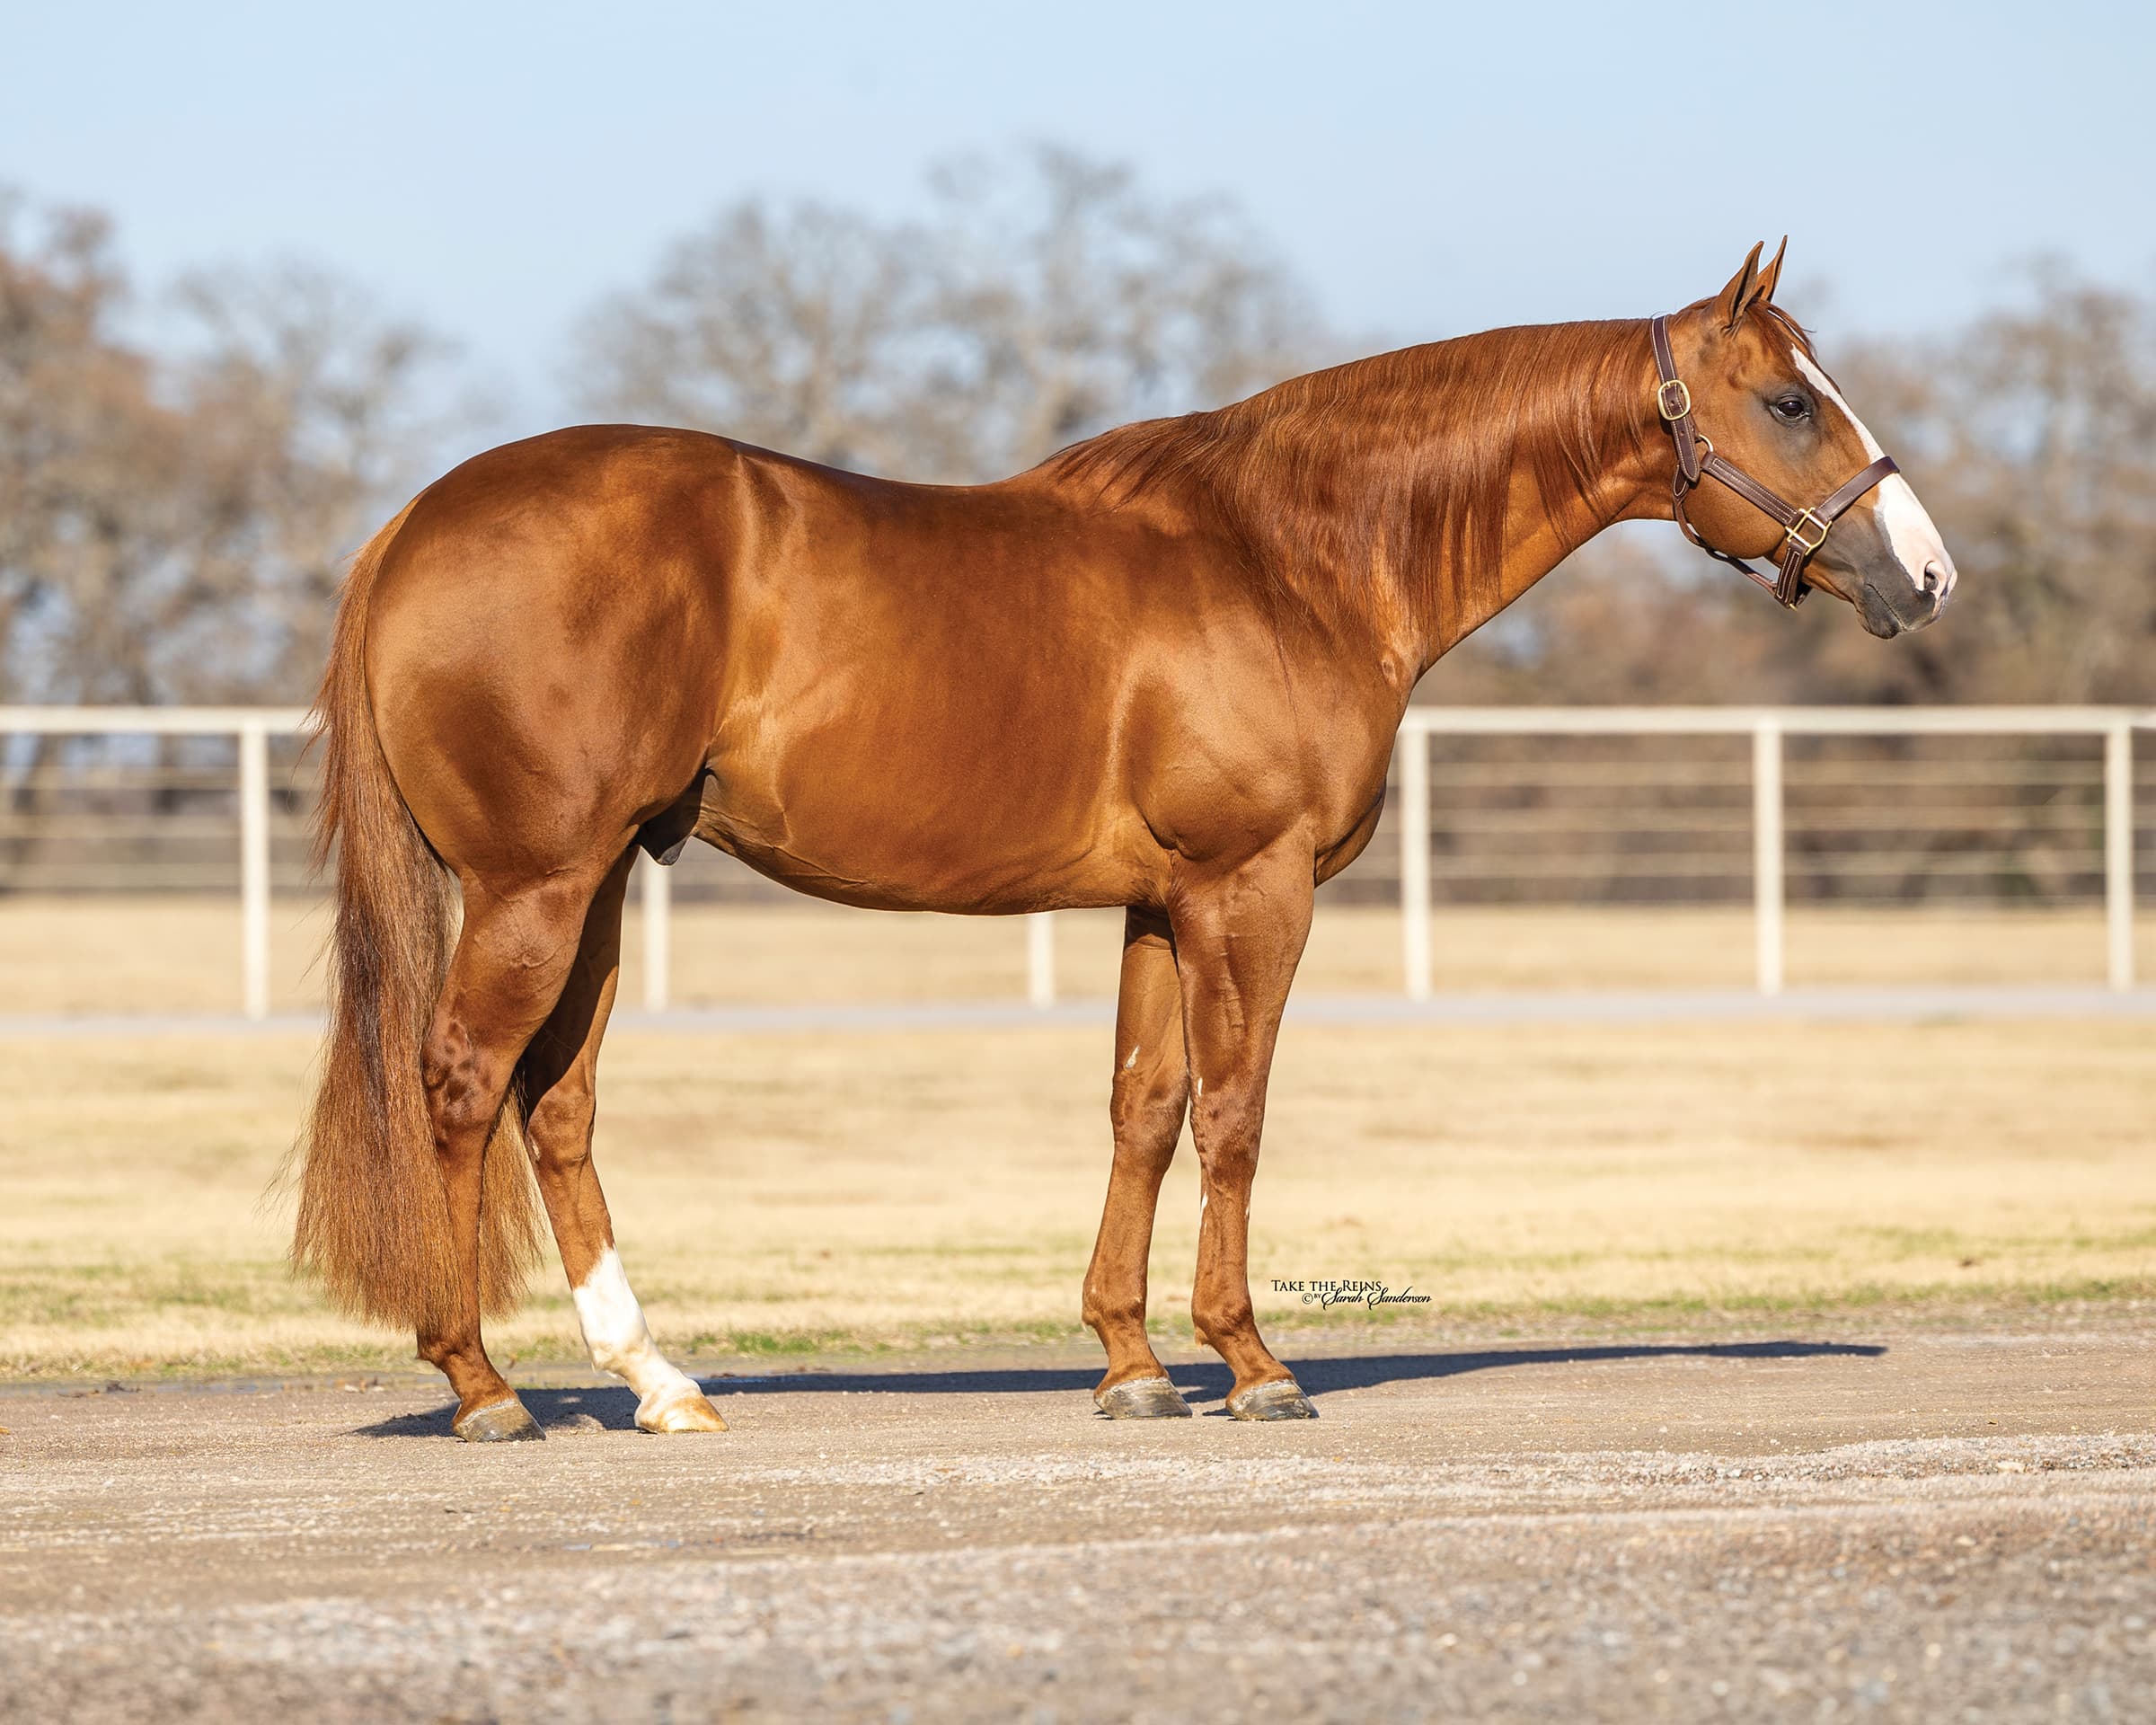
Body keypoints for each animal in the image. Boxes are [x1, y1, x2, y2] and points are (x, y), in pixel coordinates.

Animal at [291, 241, 1955, 1440]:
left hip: (596, 891)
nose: (1926, 573)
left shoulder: (1162, 904)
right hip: (537, 886)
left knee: (558, 1108)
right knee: (464, 1086)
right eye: (1792, 402)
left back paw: (660, 1382)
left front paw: (1130, 1364)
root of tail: (413, 526)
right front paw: (1253, 1363)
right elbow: (1236, 1115)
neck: (1293, 553)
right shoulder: (1252, 890)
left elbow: (1143, 1111)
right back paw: (484, 1388)